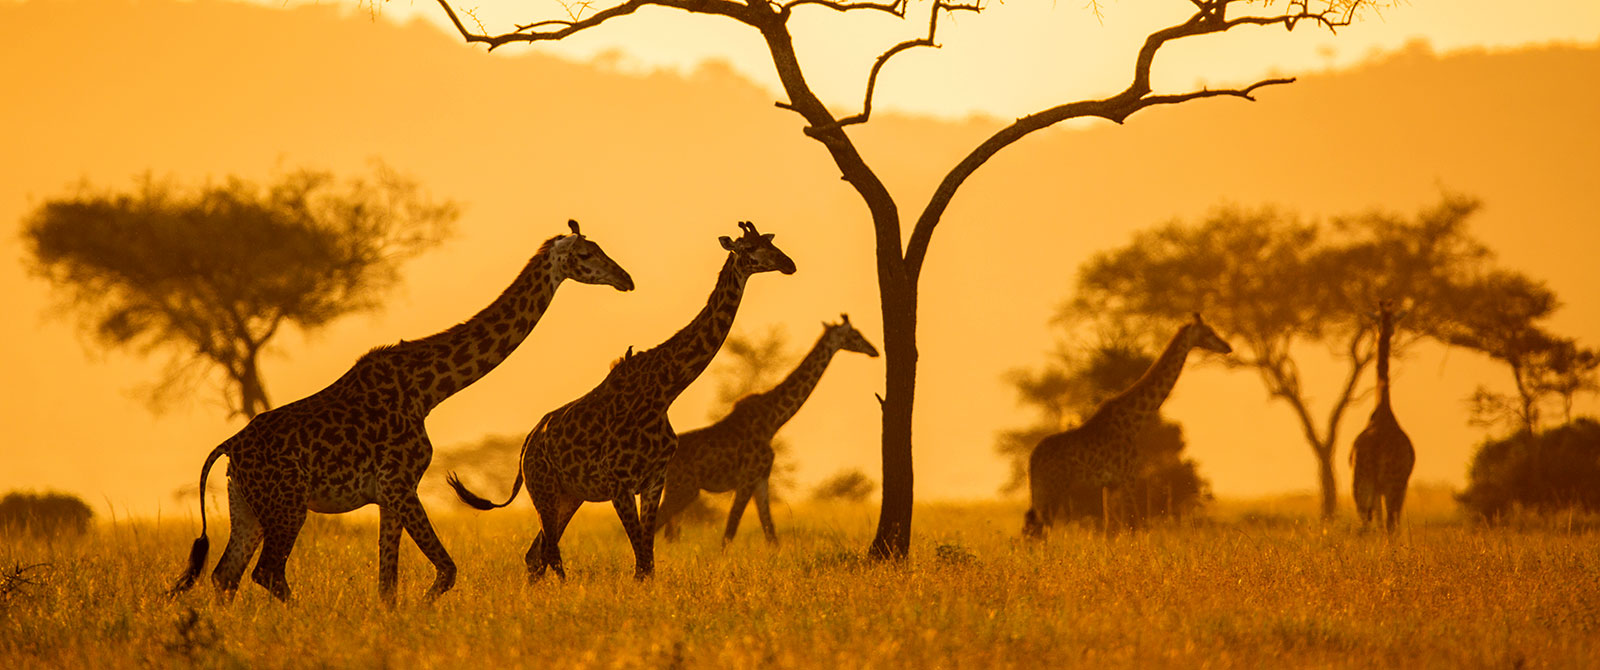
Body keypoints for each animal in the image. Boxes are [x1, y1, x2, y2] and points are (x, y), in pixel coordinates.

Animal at [168, 222, 630, 607]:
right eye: (586, 254)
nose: (626, 279)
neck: (427, 391)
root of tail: (229, 446)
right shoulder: (400, 484)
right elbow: (446, 570)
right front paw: (420, 612)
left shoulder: (388, 496)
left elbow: (387, 585)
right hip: (287, 505)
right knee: (266, 573)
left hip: (246, 506)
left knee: (225, 575)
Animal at [448, 220, 796, 582]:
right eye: (750, 248)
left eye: (770, 243)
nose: (789, 264)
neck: (664, 390)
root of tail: (526, 446)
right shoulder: (620, 485)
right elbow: (641, 563)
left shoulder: (654, 481)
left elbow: (648, 562)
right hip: (544, 490)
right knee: (547, 553)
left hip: (570, 496)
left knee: (536, 554)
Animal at [656, 315, 883, 546]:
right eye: (855, 334)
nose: (874, 350)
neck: (773, 421)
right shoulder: (747, 478)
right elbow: (730, 531)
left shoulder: (761, 479)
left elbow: (770, 532)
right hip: (685, 488)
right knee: (658, 522)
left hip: (677, 488)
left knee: (667, 529)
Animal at [1017, 311, 1228, 537]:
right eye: (1209, 332)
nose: (1228, 347)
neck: (1135, 419)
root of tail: (1032, 460)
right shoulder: (1128, 478)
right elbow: (1133, 525)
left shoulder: (1110, 484)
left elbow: (1111, 530)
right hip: (1054, 487)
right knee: (1038, 530)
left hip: (1039, 489)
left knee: (1030, 526)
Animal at [1350, 302, 1414, 534]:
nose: (1387, 331)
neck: (1384, 411)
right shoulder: (1400, 484)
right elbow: (1388, 523)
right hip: (1390, 485)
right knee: (1389, 523)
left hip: (1362, 484)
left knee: (1366, 525)